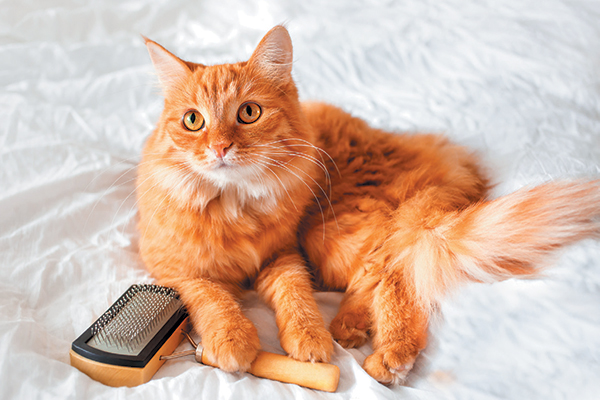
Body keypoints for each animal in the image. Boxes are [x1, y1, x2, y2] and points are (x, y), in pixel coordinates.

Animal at [138, 25, 600, 384]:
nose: (219, 148)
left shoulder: (284, 254)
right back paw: (353, 329)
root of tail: (445, 162)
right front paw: (234, 340)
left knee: (396, 271)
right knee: (388, 270)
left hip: (336, 228)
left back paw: (385, 354)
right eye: (193, 121)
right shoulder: (174, 270)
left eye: (248, 113)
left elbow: (296, 298)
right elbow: (213, 297)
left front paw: (310, 341)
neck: (233, 205)